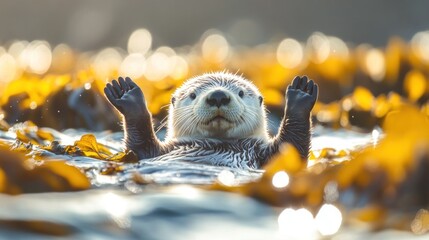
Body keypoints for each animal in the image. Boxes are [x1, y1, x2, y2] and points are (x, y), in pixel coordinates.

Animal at [103, 72, 318, 168]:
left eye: (240, 93)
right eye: (193, 95)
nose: (218, 96)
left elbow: (292, 147)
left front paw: (300, 94)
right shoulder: (153, 152)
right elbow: (138, 145)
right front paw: (128, 95)